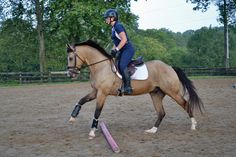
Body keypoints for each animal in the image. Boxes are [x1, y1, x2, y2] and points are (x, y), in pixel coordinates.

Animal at [67, 39, 204, 139]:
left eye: (70, 58)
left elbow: (97, 111)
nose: (70, 74)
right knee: (161, 112)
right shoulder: (96, 91)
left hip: (173, 92)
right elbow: (81, 100)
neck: (101, 67)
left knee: (186, 104)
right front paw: (73, 116)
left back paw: (193, 125)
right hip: (156, 94)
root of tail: (169, 67)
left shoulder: (102, 93)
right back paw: (152, 130)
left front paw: (92, 131)